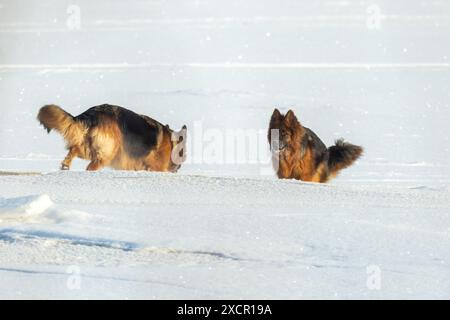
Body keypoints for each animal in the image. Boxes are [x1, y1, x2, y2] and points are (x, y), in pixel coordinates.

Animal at [36, 104, 188, 171]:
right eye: (183, 152)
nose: (179, 166)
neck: (171, 144)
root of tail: (92, 115)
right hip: (107, 153)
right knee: (91, 166)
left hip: (89, 149)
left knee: (74, 150)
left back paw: (65, 166)